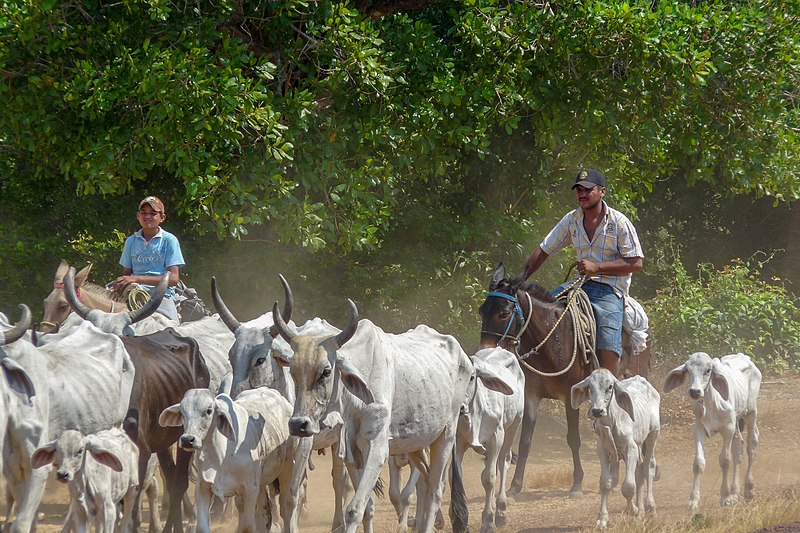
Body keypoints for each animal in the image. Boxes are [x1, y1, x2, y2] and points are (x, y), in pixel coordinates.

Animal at [159, 386, 310, 532]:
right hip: (260, 484)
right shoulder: (203, 487)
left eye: (209, 411)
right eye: (182, 412)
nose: (187, 440)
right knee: (264, 515)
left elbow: (247, 527)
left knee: (287, 506)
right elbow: (202, 527)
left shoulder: (249, 489)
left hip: (289, 468)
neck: (221, 455)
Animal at [274, 300, 494, 532]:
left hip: (447, 434)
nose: (298, 424)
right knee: (425, 482)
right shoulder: (352, 451)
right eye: (294, 371)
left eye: (326, 371)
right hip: (416, 443)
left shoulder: (377, 448)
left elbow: (354, 510)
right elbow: (367, 507)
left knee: (436, 490)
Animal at [454, 348, 528, 528]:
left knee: (503, 462)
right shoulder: (458, 442)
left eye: (472, 377)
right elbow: (458, 477)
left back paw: (501, 509)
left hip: (514, 425)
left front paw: (488, 520)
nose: (459, 407)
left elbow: (489, 478)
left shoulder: (496, 437)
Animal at [572, 370, 660, 528]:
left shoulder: (631, 448)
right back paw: (641, 512)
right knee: (639, 472)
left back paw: (650, 507)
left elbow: (628, 486)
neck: (612, 421)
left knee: (648, 467)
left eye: (610, 387)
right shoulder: (602, 449)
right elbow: (606, 483)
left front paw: (632, 510)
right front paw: (602, 519)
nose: (597, 411)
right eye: (590, 387)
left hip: (652, 435)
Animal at [664, 352, 764, 510]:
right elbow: (698, 463)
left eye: (708, 370)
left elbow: (725, 460)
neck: (710, 402)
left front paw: (724, 496)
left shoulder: (728, 428)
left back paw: (749, 489)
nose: (695, 391)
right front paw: (693, 500)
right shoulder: (699, 428)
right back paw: (735, 493)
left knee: (752, 443)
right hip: (737, 421)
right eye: (688, 370)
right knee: (738, 448)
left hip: (751, 412)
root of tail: (744, 356)